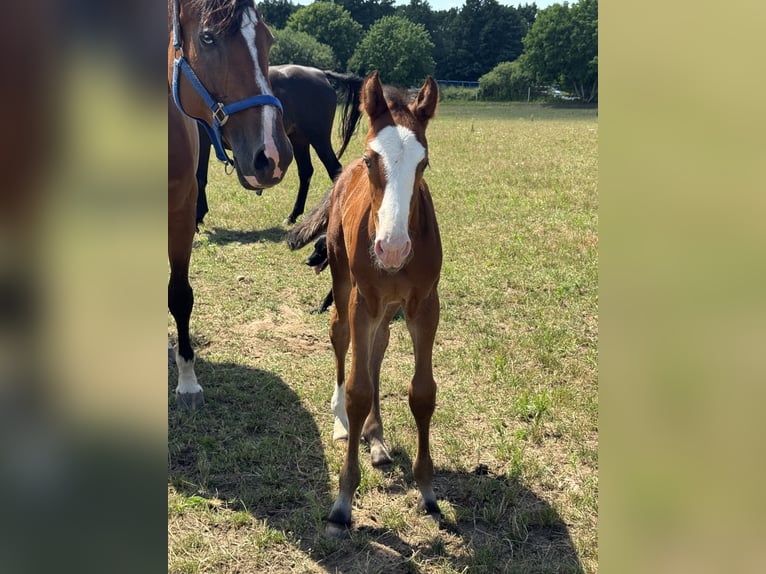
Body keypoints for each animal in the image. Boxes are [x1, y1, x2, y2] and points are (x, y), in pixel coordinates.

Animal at [168, 0, 293, 408]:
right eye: (207, 37)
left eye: (268, 39)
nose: (273, 155)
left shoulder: (181, 215)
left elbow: (180, 295)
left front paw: (187, 382)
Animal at [195, 65, 364, 226]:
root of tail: (321, 74)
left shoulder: (202, 139)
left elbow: (200, 177)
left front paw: (198, 217)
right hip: (299, 139)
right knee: (306, 172)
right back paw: (293, 215)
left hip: (319, 139)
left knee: (335, 170)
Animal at [291, 71, 442, 536]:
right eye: (373, 159)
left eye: (423, 164)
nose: (391, 249)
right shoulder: (363, 300)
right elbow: (359, 389)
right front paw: (342, 502)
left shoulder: (424, 306)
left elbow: (422, 393)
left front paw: (427, 490)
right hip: (346, 287)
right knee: (341, 338)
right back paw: (344, 423)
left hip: (388, 309)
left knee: (377, 349)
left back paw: (375, 438)